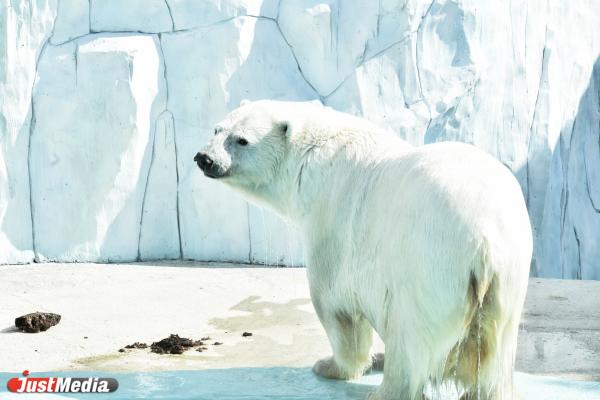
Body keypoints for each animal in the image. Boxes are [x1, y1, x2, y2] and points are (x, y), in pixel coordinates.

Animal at [195, 100, 532, 400]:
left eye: (242, 140)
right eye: (217, 129)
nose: (204, 158)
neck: (314, 159)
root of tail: (484, 243)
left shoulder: (333, 221)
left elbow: (335, 304)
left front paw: (329, 366)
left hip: (427, 263)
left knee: (408, 336)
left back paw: (384, 390)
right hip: (507, 282)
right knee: (496, 354)